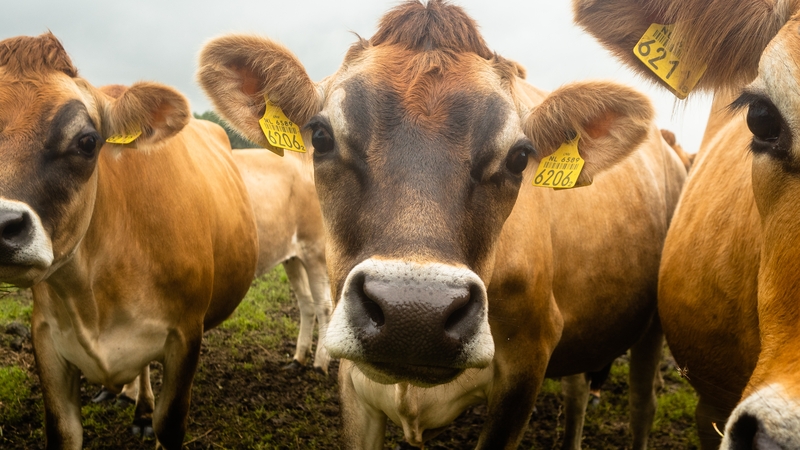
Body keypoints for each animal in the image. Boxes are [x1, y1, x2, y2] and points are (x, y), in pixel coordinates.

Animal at [0, 33, 258, 449]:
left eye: (88, 142)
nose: (2, 223)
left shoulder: (186, 334)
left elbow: (170, 424)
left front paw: (151, 418)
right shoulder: (45, 337)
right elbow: (63, 430)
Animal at [232, 149, 331, 374]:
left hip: (315, 250)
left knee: (324, 306)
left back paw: (320, 364)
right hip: (292, 257)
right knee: (307, 302)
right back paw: (298, 359)